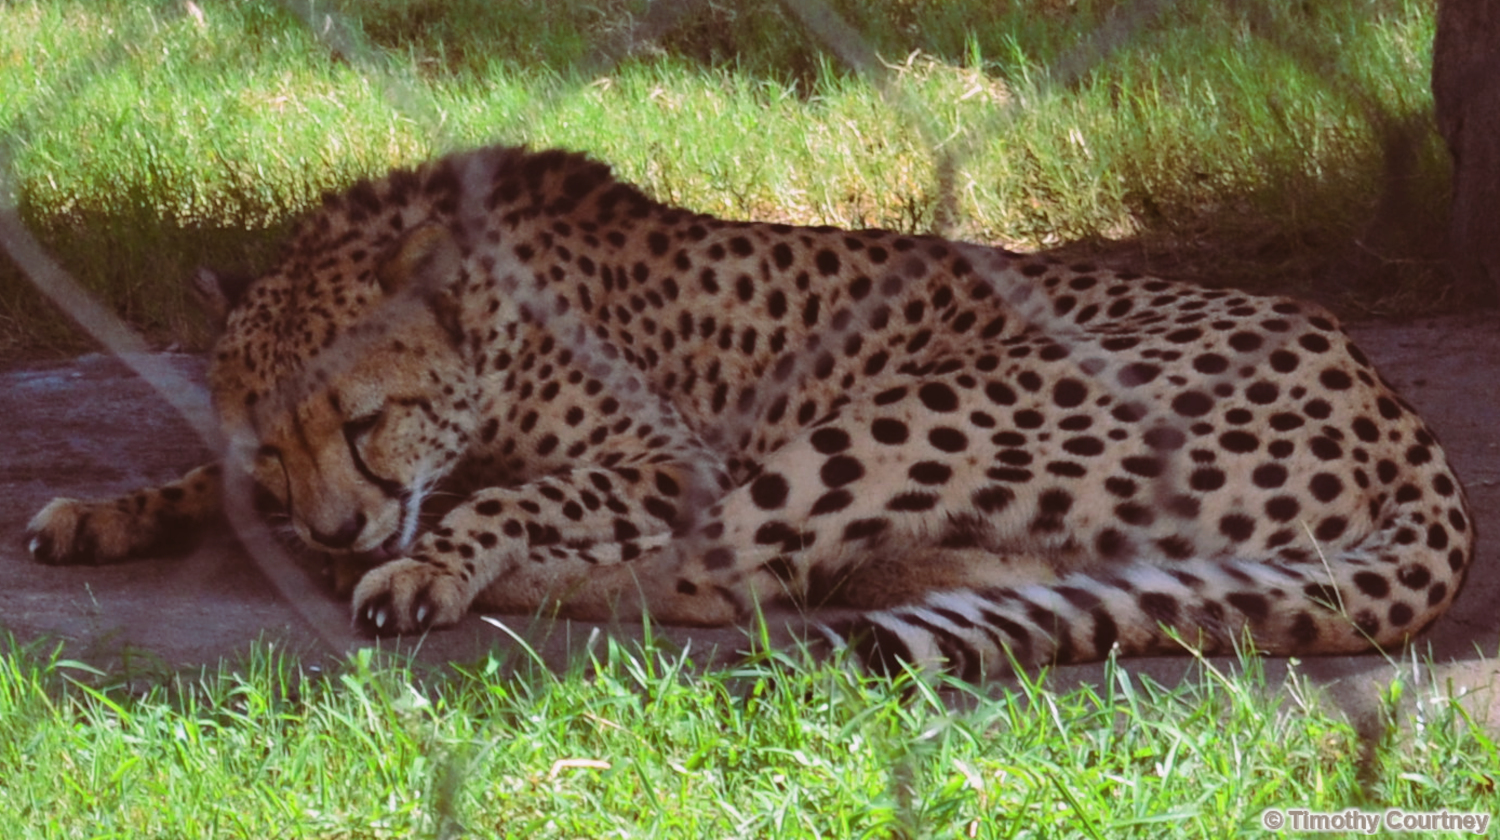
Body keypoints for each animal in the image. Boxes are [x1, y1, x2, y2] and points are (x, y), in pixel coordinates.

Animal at [27, 144, 1474, 679]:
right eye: (274, 440)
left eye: (365, 421)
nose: (333, 531)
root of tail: (1390, 399)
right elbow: (200, 480)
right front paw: (104, 512)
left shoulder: (669, 456)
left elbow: (512, 495)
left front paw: (430, 563)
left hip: (918, 409)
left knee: (727, 577)